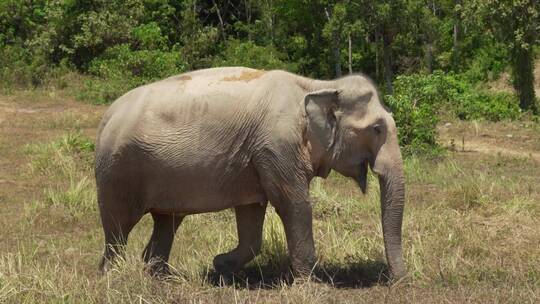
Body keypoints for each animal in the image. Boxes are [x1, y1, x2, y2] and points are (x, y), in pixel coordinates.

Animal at [94, 67, 404, 282]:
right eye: (377, 129)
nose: (399, 279)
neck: (318, 85)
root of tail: (107, 116)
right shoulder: (276, 147)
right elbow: (294, 205)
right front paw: (312, 284)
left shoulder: (255, 157)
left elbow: (252, 215)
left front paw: (220, 266)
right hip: (118, 170)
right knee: (118, 226)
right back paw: (114, 276)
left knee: (166, 221)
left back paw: (162, 277)